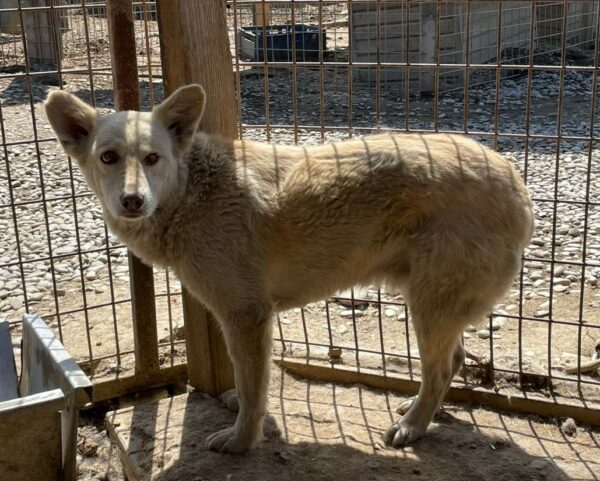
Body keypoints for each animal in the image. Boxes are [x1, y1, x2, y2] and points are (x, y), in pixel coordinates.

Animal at [45, 83, 536, 454]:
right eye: (108, 157)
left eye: (152, 158)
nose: (132, 201)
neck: (191, 194)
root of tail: (515, 179)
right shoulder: (245, 317)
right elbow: (248, 386)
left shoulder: (246, 316)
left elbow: (252, 389)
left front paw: (241, 442)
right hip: (432, 306)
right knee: (454, 362)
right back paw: (423, 413)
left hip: (429, 307)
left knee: (439, 369)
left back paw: (413, 425)